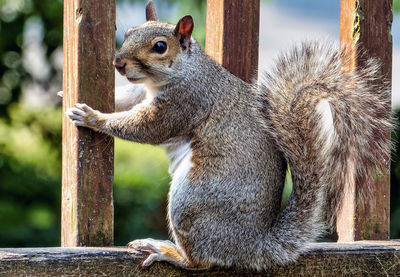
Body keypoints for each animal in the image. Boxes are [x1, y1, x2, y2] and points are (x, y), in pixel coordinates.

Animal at [65, 0, 390, 270]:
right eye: (129, 31)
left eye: (160, 46)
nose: (118, 63)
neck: (184, 70)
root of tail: (251, 248)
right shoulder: (142, 93)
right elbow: (126, 98)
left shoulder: (185, 102)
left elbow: (144, 128)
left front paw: (93, 118)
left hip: (190, 202)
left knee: (200, 262)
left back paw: (165, 251)